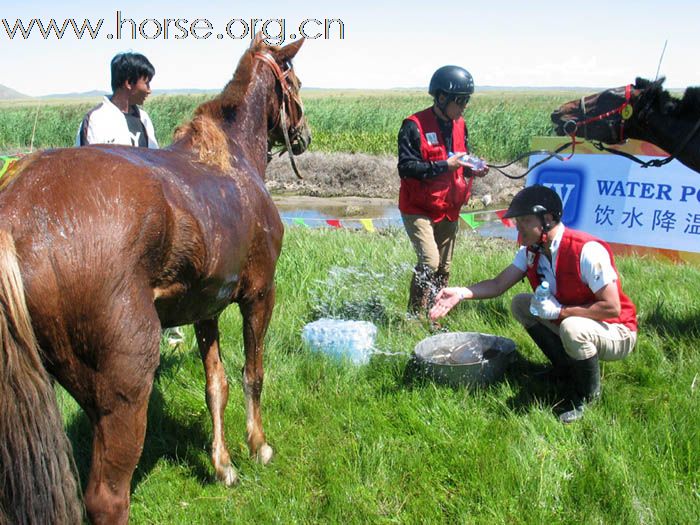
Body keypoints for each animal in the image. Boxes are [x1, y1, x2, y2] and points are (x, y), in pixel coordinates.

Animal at [0, 36, 312, 524]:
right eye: (294, 82)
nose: (304, 135)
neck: (230, 158)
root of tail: (14, 212)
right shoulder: (260, 295)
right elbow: (252, 374)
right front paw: (257, 446)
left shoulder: (205, 309)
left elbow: (216, 386)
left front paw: (222, 465)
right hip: (124, 391)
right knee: (107, 497)